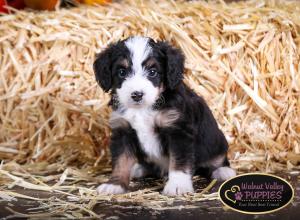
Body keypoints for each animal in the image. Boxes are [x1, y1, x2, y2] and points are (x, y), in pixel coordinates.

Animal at [92, 36, 236, 196]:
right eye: (122, 72)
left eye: (153, 72)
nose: (137, 95)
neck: (143, 109)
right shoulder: (122, 131)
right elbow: (121, 161)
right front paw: (115, 184)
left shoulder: (178, 130)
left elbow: (178, 161)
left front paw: (177, 185)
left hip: (216, 142)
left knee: (217, 159)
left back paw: (223, 171)